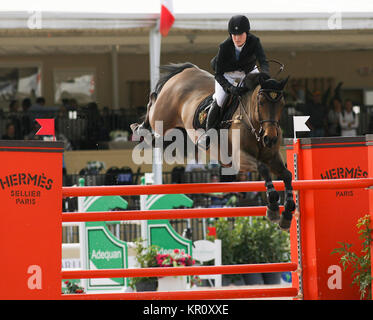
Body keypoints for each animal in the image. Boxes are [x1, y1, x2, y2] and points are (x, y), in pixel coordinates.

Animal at [132, 62, 294, 229]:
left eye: (282, 104)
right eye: (261, 103)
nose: (270, 139)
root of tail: (187, 70)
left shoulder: (272, 157)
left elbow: (287, 175)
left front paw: (287, 214)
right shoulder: (239, 159)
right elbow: (263, 168)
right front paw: (273, 207)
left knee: (157, 137)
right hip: (162, 118)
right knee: (152, 106)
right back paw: (139, 127)